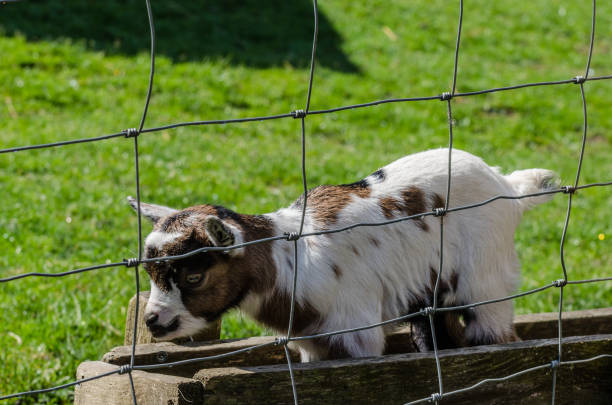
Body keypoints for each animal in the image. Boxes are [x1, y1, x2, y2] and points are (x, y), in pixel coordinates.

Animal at [130, 148, 560, 360]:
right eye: (150, 273)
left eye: (194, 276)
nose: (153, 322)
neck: (291, 261)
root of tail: (508, 184)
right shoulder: (313, 346)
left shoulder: (357, 336)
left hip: (487, 282)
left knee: (495, 332)